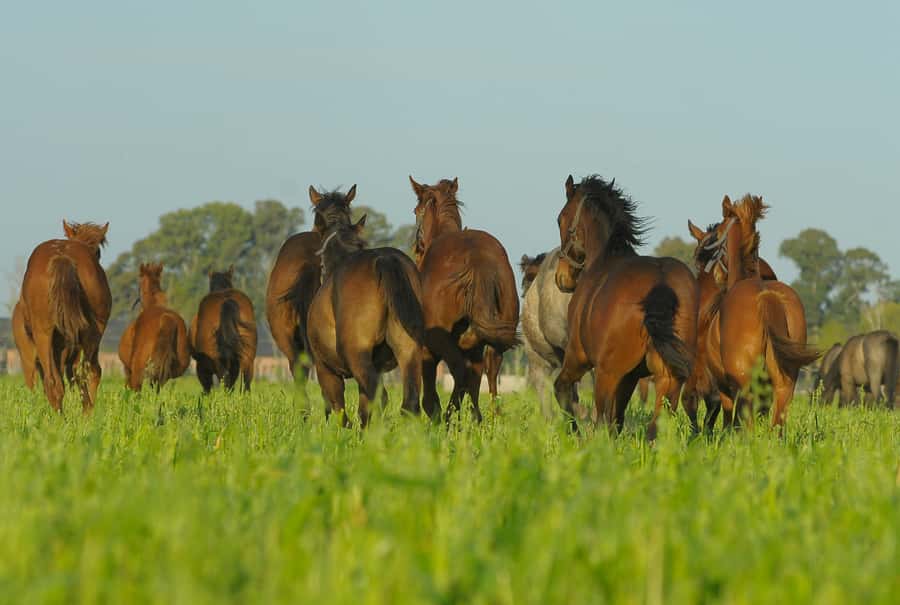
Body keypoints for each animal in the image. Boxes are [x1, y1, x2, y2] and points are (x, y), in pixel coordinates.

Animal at [19, 220, 111, 411]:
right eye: (98, 252)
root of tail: (63, 257)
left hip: (44, 334)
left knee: (55, 379)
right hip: (90, 333)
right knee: (87, 372)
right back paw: (87, 413)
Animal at [307, 217, 424, 425]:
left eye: (321, 263)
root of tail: (385, 259)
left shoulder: (325, 369)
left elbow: (339, 410)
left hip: (356, 356)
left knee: (380, 398)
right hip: (408, 351)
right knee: (409, 404)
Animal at [410, 176, 519, 420]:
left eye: (416, 211)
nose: (416, 250)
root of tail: (479, 259)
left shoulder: (427, 350)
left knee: (460, 371)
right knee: (485, 371)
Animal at [553, 175, 699, 438]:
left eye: (561, 218)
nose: (562, 278)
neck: (603, 260)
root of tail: (660, 282)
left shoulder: (578, 357)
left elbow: (562, 389)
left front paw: (574, 433)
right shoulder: (631, 377)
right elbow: (618, 419)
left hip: (606, 374)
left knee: (601, 420)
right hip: (668, 379)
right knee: (655, 426)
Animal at [695, 195, 818, 426]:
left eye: (716, 235)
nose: (712, 273)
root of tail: (766, 298)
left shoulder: (725, 389)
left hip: (746, 388)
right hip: (783, 387)